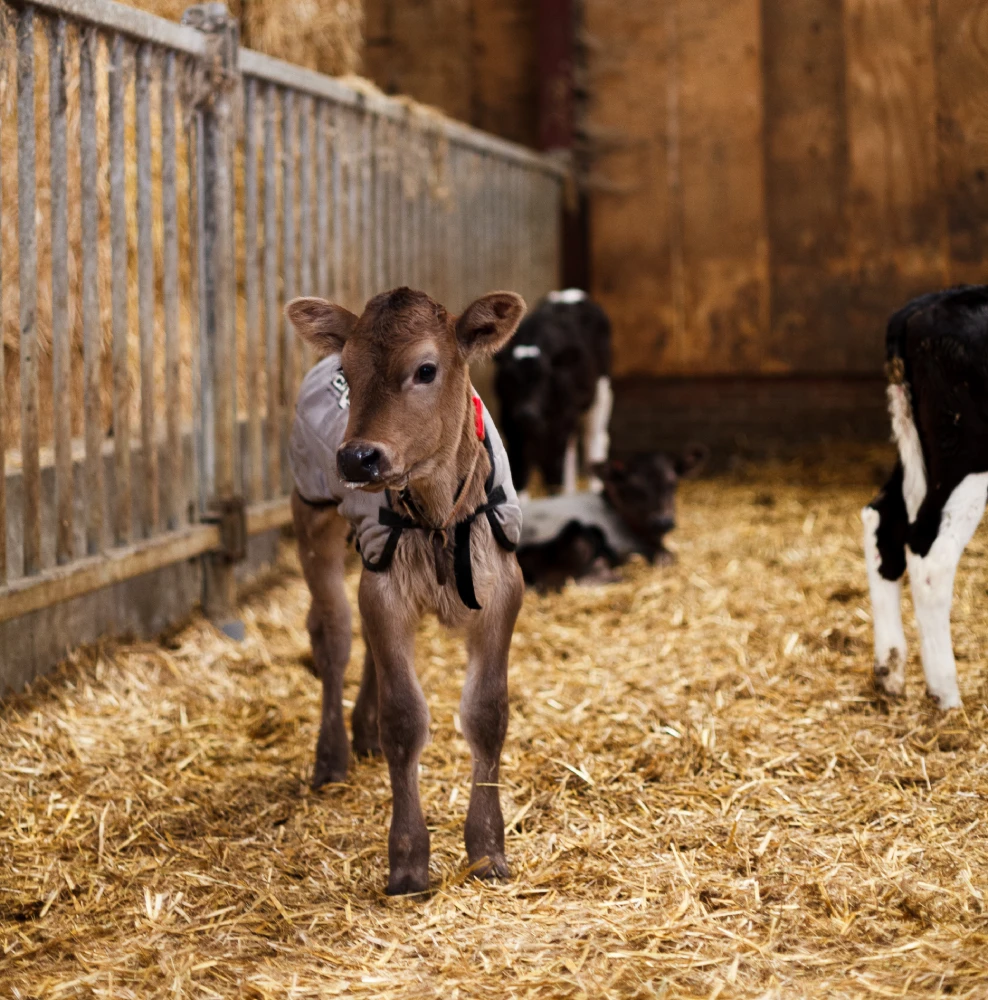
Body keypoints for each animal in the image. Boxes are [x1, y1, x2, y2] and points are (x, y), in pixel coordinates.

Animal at [286, 287, 526, 895]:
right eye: (348, 372)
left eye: (426, 370)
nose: (356, 457)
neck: (438, 509)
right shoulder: (386, 589)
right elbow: (404, 718)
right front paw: (409, 861)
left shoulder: (501, 586)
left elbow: (488, 713)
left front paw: (488, 851)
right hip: (312, 512)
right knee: (333, 634)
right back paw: (332, 755)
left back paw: (361, 731)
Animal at [493, 289, 612, 498]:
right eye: (509, 377)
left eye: (545, 376)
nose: (526, 413)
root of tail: (571, 293)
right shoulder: (510, 421)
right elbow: (519, 473)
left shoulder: (561, 422)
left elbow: (553, 475)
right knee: (571, 452)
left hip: (600, 393)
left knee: (594, 439)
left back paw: (594, 487)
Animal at [862, 286, 988, 709]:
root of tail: (917, 309)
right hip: (964, 452)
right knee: (930, 558)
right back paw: (945, 693)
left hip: (918, 447)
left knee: (881, 518)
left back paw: (890, 670)